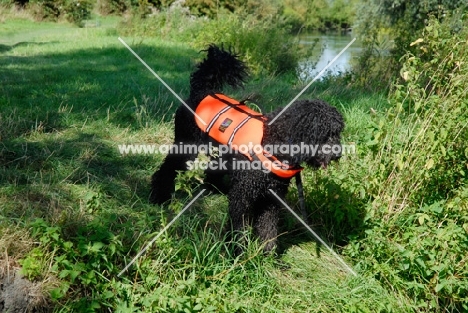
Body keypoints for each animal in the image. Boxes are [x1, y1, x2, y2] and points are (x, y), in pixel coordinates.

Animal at [151, 45, 344, 252]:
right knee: (165, 170)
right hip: (185, 147)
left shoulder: (271, 199)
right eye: (323, 134)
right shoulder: (242, 196)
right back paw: (159, 196)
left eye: (338, 132)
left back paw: (214, 188)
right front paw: (238, 250)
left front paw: (267, 253)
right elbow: (240, 227)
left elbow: (268, 227)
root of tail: (202, 91)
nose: (338, 154)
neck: (271, 141)